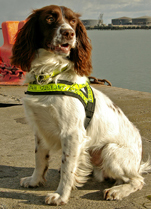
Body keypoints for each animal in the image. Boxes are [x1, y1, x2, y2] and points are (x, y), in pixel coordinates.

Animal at [11, 4, 150, 205]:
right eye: (50, 18)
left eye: (73, 22)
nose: (69, 33)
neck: (49, 74)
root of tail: (138, 163)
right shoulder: (40, 128)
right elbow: (40, 158)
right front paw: (35, 180)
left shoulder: (72, 133)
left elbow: (68, 168)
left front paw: (61, 196)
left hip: (110, 151)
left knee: (137, 180)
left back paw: (117, 191)